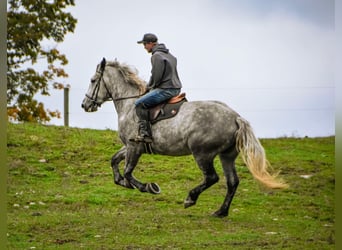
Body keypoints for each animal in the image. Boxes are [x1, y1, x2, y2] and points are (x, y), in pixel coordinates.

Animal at [81, 58, 288, 217]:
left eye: (92, 80)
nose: (85, 105)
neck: (130, 104)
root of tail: (235, 117)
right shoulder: (130, 146)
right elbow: (114, 161)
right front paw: (122, 182)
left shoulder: (134, 147)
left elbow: (128, 172)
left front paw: (149, 187)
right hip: (226, 156)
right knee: (232, 182)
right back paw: (220, 212)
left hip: (202, 154)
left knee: (212, 178)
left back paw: (191, 198)